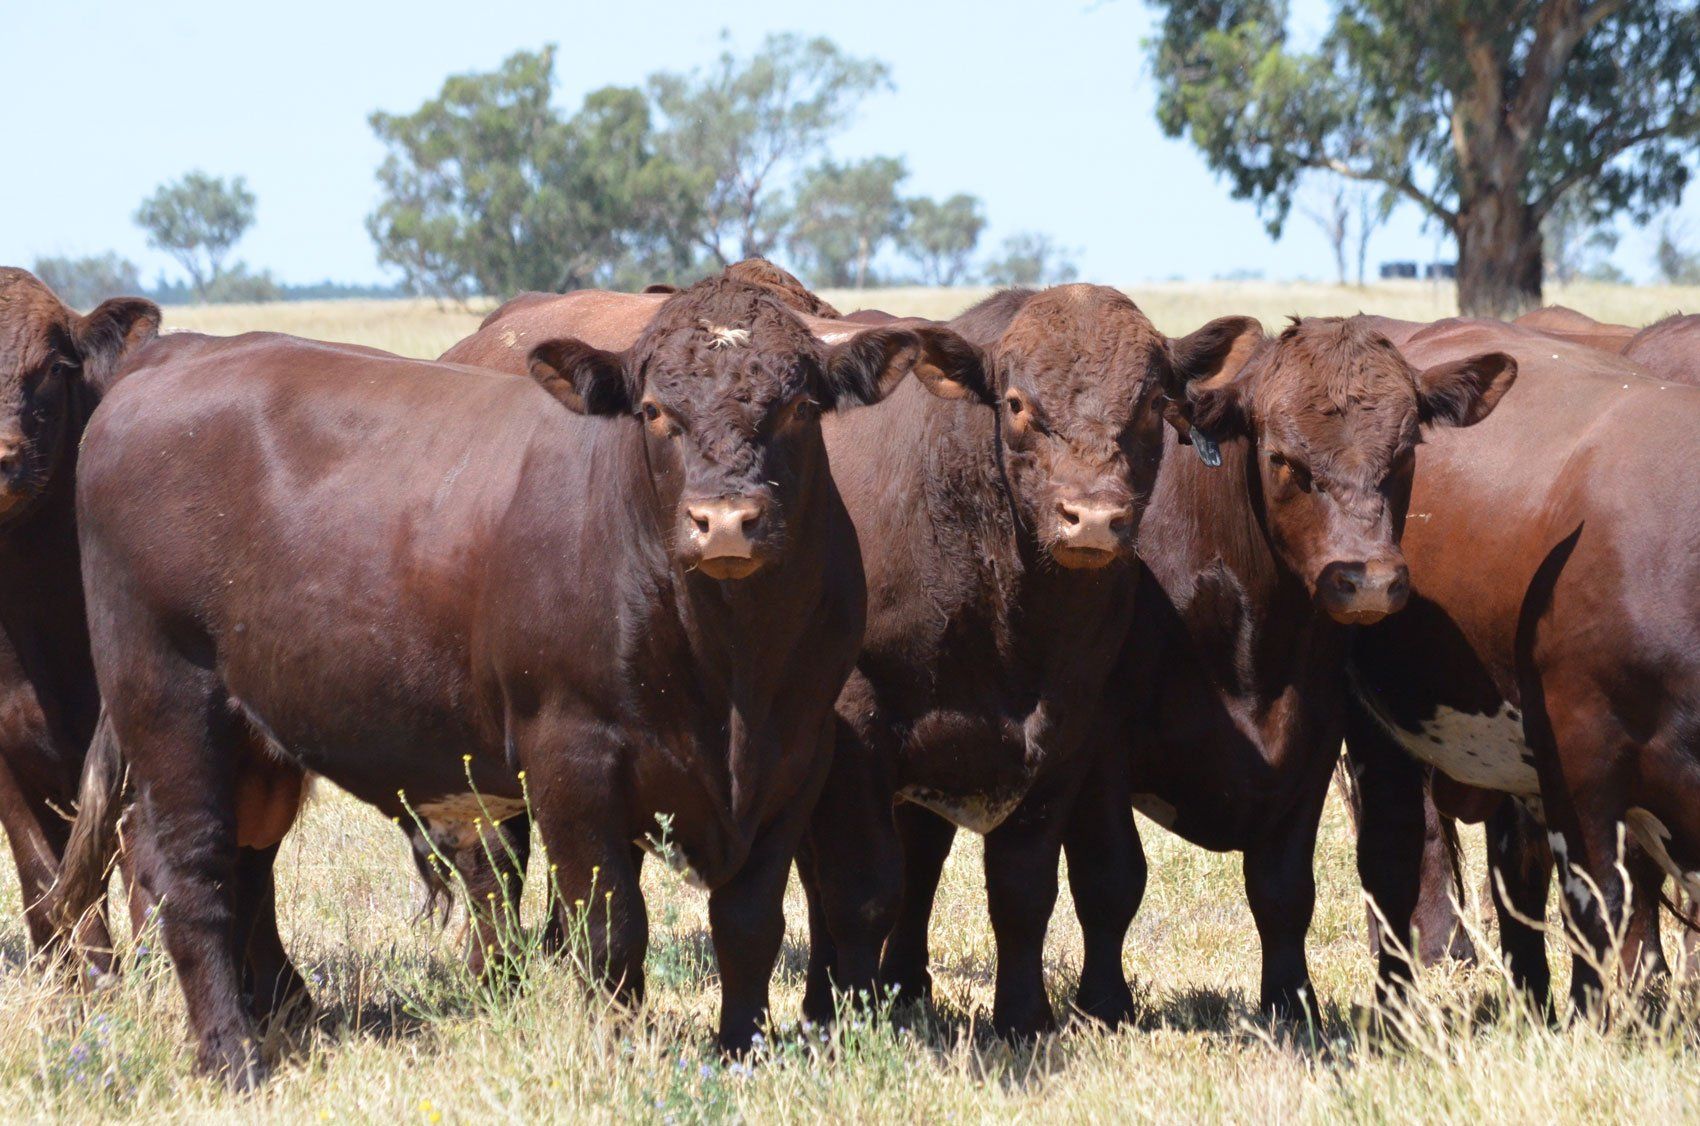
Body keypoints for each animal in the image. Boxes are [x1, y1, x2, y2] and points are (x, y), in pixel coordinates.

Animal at [57, 276, 985, 1087]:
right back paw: (232, 1056)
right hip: (168, 701)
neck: (731, 674)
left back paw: (282, 1017)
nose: (725, 521)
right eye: (656, 411)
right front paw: (615, 1052)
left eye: (798, 406)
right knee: (191, 875)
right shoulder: (575, 762)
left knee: (243, 869)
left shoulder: (794, 761)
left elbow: (750, 924)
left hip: (258, 741)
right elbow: (609, 932)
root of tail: (174, 358)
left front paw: (740, 1053)